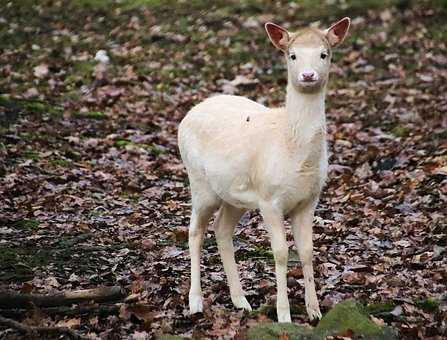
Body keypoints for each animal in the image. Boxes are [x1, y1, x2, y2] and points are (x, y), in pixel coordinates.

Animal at [178, 17, 350, 322]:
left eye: (324, 54)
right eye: (292, 55)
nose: (307, 75)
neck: (293, 150)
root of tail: (187, 115)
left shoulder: (310, 200)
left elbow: (307, 251)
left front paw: (315, 312)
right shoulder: (270, 199)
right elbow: (280, 252)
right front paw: (284, 315)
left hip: (234, 195)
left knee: (221, 229)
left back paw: (241, 301)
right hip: (199, 182)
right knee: (195, 231)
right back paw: (195, 302)